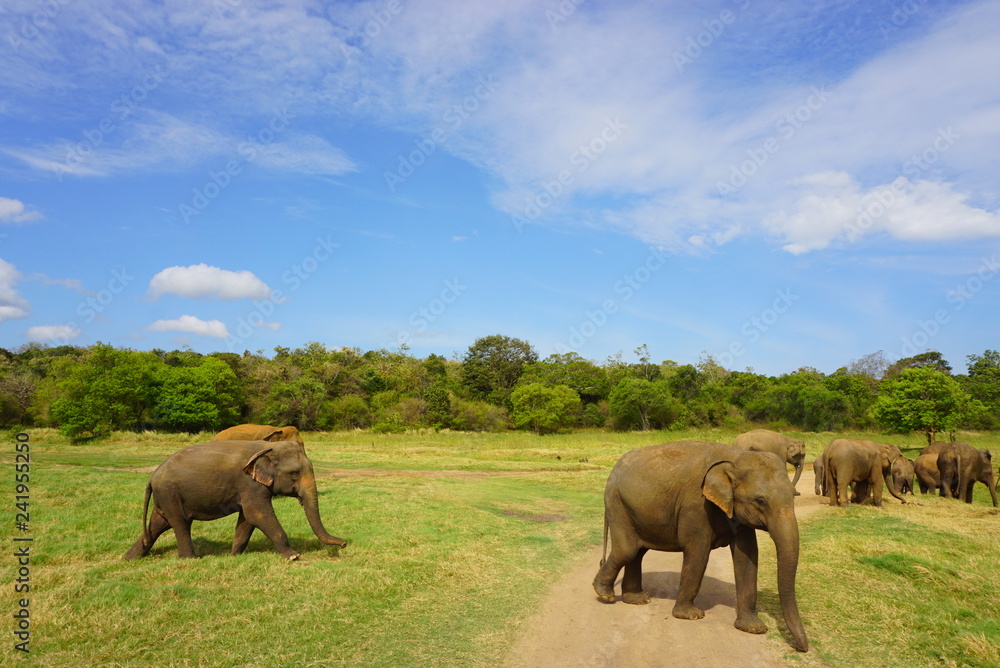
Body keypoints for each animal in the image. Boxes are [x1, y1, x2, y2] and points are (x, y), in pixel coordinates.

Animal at [124, 440, 348, 560]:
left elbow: (247, 520)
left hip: (165, 496)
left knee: (158, 524)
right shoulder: (250, 484)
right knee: (180, 523)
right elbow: (257, 514)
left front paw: (234, 555)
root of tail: (152, 476)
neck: (268, 446)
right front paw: (293, 556)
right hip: (170, 494)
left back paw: (129, 558)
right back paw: (191, 559)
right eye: (295, 473)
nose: (344, 544)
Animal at [588, 440, 808, 648]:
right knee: (627, 549)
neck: (735, 458)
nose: (800, 647)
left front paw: (753, 628)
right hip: (617, 503)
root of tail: (614, 469)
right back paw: (605, 595)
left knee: (637, 552)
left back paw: (637, 600)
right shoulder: (695, 505)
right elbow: (698, 551)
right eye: (760, 501)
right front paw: (691, 616)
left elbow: (747, 556)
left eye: (793, 495)